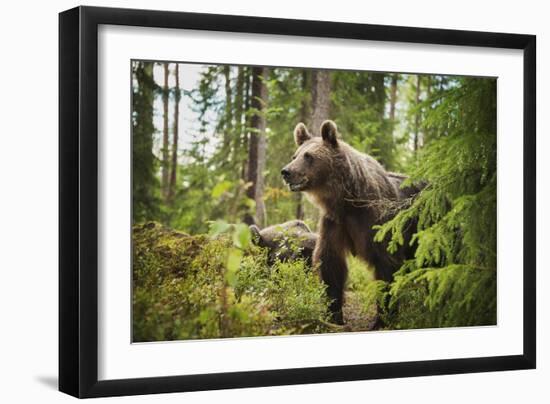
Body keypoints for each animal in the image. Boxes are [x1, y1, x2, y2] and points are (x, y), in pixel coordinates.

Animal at [282, 119, 424, 322]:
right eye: (295, 155)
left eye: (308, 156)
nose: (286, 172)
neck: (347, 201)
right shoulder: (335, 222)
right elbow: (331, 263)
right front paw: (334, 315)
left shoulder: (376, 223)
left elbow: (386, 265)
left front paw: (383, 318)